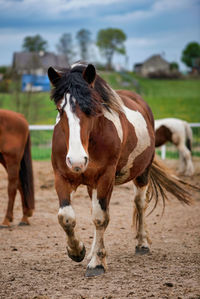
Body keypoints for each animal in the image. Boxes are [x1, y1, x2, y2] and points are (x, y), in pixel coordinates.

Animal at [47, 63, 192, 278]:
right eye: (59, 109)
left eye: (91, 109)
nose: (76, 160)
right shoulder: (62, 177)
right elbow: (65, 217)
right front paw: (77, 251)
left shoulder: (105, 178)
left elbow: (100, 219)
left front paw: (97, 263)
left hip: (142, 173)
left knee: (139, 203)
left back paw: (142, 244)